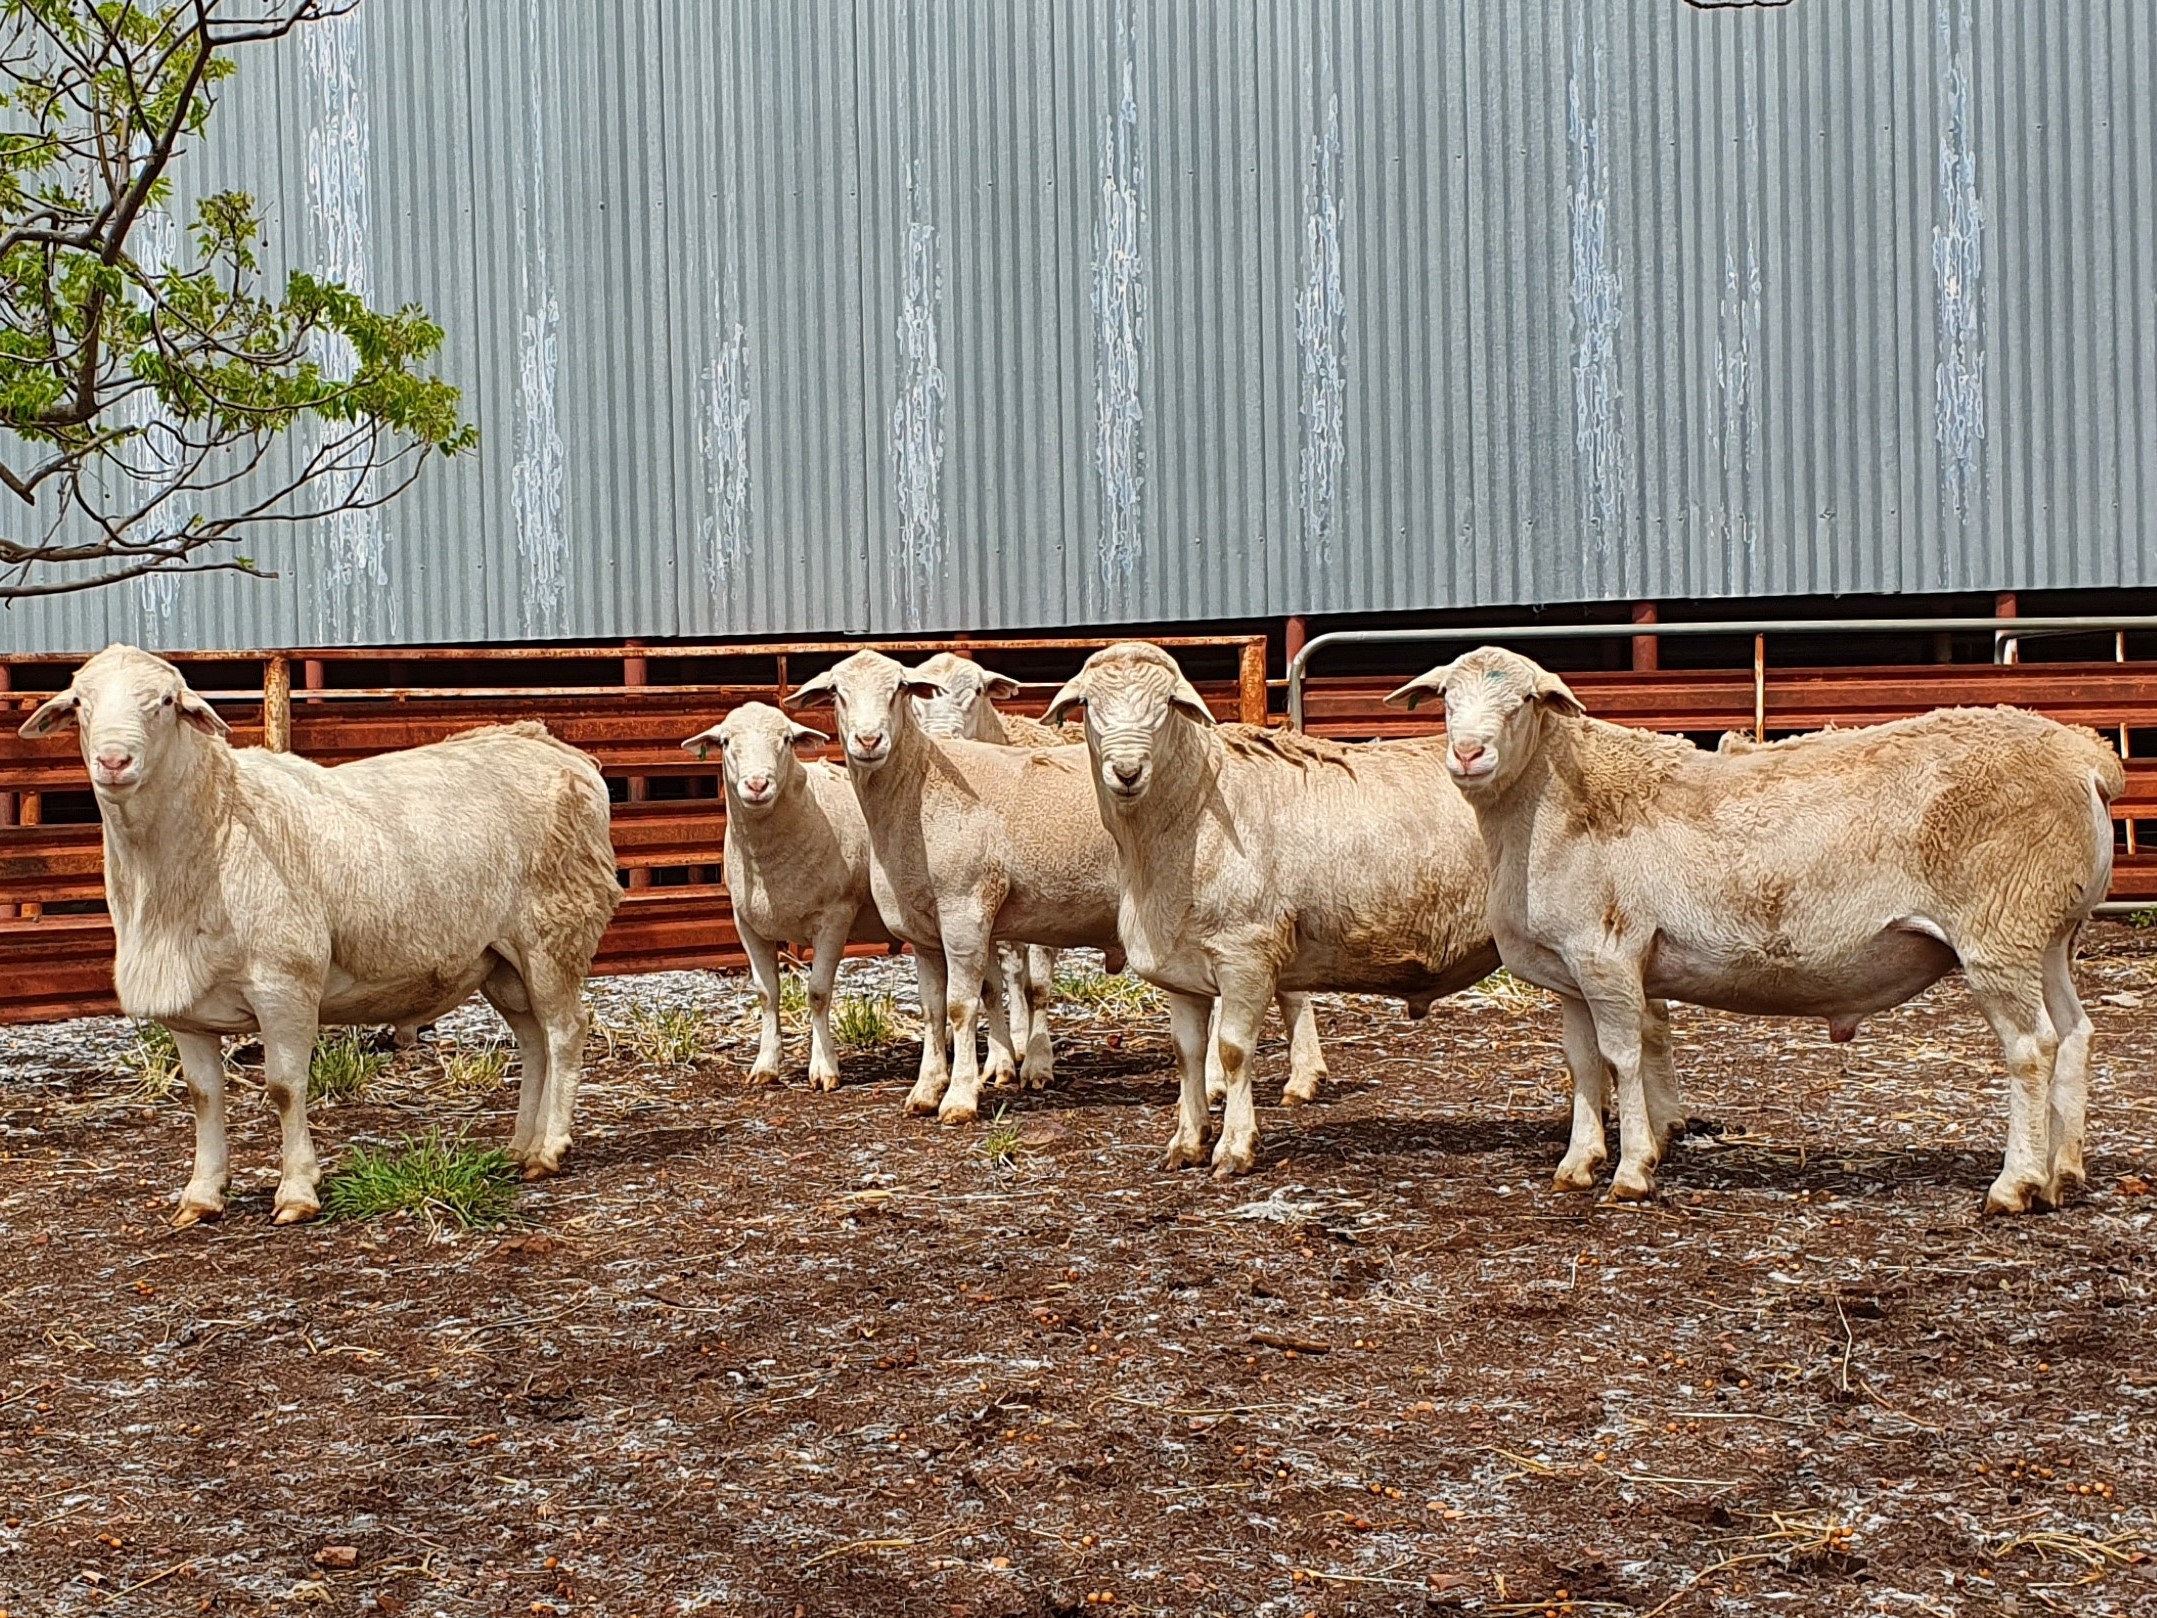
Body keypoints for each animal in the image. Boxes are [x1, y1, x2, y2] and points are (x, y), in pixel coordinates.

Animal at [19, 644, 621, 1225]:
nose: (113, 761)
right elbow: (203, 1097)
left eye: (166, 702)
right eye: (79, 703)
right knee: (533, 1038)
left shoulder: (284, 984)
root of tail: (556, 750)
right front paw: (202, 1196)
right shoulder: (186, 1006)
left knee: (566, 1031)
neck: (217, 823)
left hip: (553, 931)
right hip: (500, 958)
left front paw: (297, 1192)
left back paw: (550, 1149)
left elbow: (285, 1088)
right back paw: (520, 1148)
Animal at [680, 702, 897, 1090]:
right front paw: (766, 1064)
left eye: (786, 740)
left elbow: (818, 992)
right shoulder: (745, 922)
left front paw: (824, 1068)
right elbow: (767, 993)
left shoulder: (836, 915)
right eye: (725, 741)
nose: (757, 785)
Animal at [1042, 641, 1591, 1178]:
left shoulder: (1247, 952)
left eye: (1168, 706)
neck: (1193, 808)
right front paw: (1188, 1142)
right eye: (1089, 705)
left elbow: (1233, 1051)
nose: (1127, 772)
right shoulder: (1181, 964)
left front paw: (1234, 1149)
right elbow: (1188, 1053)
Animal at [1385, 645, 2125, 1213]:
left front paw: (1631, 1173)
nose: (1467, 753)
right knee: (2074, 1034)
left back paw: (2014, 1185)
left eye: (1522, 704)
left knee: (2030, 1047)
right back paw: (2061, 1175)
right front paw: (1578, 1163)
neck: (1552, 804)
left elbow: (1623, 1058)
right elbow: (1582, 1064)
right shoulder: (1568, 971)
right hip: (2046, 931)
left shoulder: (1607, 954)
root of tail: (2085, 758)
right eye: (1446, 700)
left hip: (1998, 927)